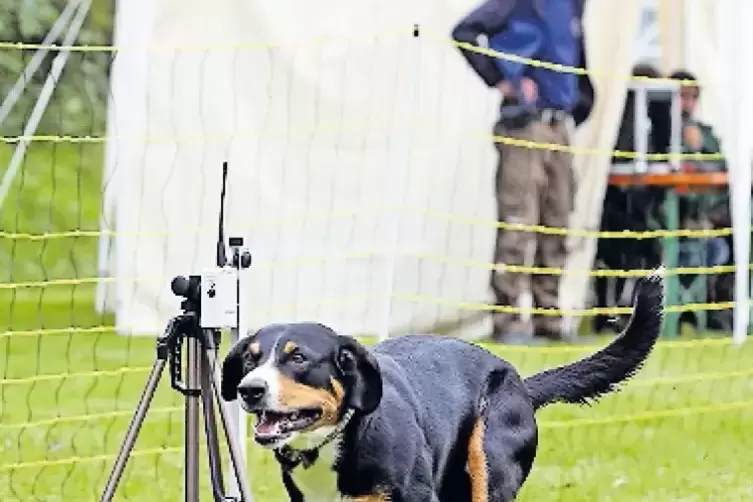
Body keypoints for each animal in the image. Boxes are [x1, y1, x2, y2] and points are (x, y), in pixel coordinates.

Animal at [220, 272, 660, 500]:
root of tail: (519, 381)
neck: (339, 438)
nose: (249, 390)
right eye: (250, 359)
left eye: (297, 358)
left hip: (489, 465)